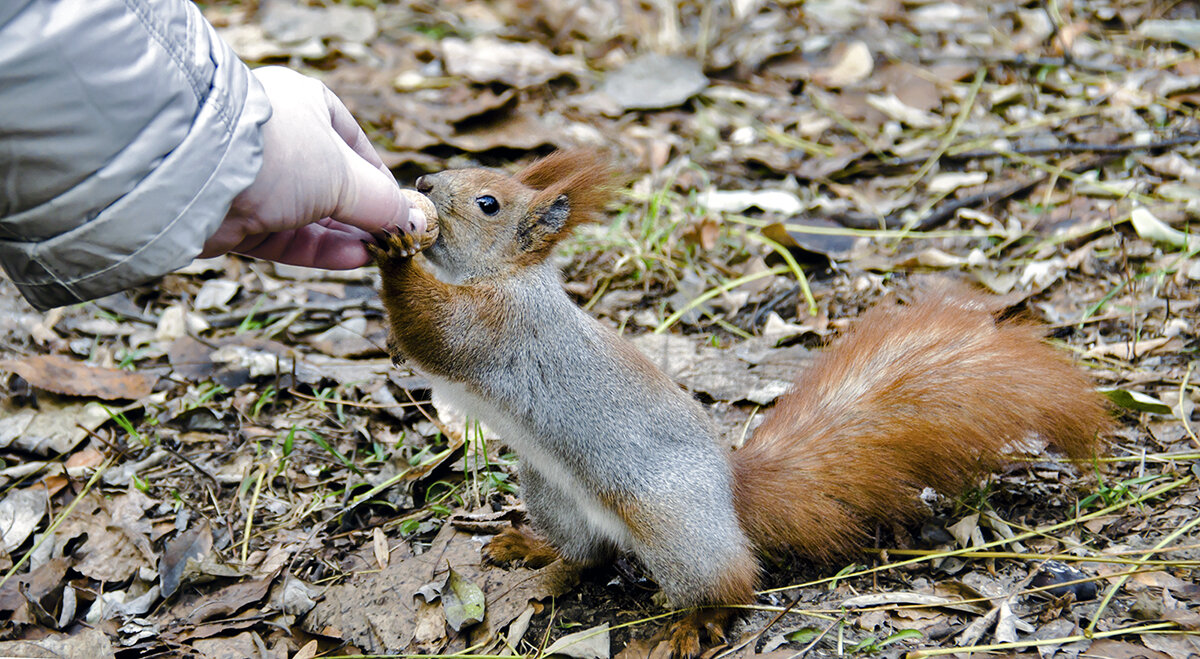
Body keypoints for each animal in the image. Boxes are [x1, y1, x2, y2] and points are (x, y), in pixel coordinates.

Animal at [369, 151, 1108, 652]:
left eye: (488, 203)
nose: (425, 185)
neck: (509, 278)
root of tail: (730, 493)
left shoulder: (495, 327)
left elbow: (435, 330)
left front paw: (394, 250)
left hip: (669, 524)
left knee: (731, 582)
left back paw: (693, 625)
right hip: (552, 488)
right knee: (588, 555)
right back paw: (534, 553)